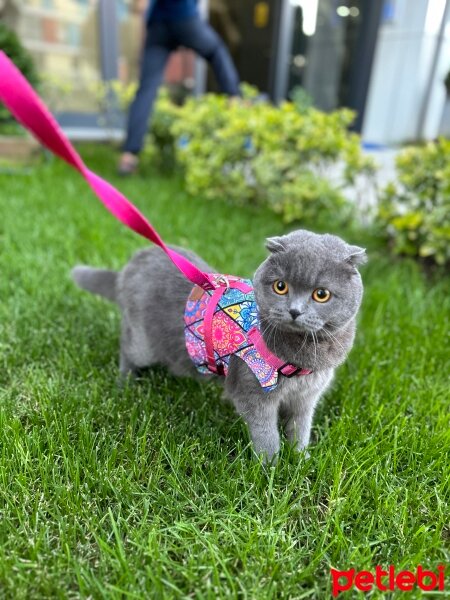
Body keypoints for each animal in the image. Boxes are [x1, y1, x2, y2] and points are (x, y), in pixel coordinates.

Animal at [71, 229, 366, 460]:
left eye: (321, 294)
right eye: (280, 286)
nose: (294, 311)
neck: (307, 357)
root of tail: (130, 266)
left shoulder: (307, 397)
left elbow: (300, 429)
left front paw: (300, 461)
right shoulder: (252, 391)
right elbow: (266, 434)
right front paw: (270, 470)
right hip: (141, 342)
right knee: (127, 348)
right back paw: (126, 383)